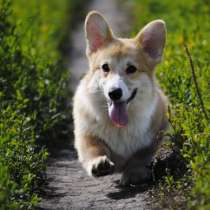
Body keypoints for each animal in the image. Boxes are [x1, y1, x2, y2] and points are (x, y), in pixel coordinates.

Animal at [73, 10, 168, 186]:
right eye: (105, 67)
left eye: (131, 69)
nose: (114, 93)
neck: (118, 127)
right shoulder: (86, 134)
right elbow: (93, 149)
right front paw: (99, 163)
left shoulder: (154, 135)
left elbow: (139, 156)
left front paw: (134, 172)